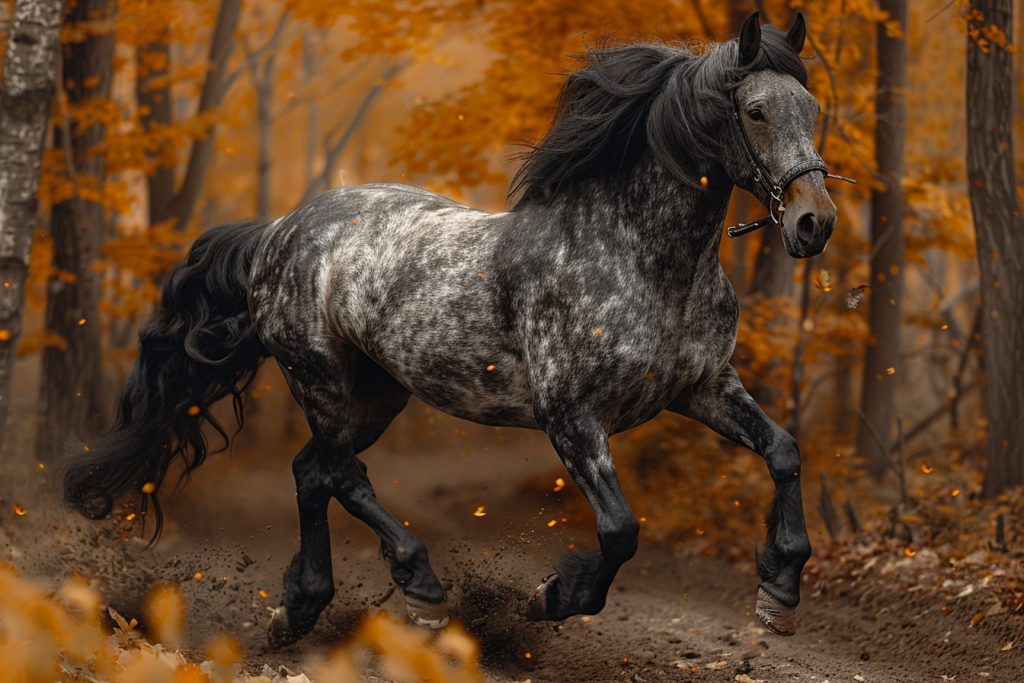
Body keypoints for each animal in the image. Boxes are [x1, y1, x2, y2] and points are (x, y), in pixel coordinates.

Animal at [65, 11, 839, 646]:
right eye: (756, 111)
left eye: (811, 107)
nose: (815, 223)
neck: (638, 258)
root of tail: (279, 230)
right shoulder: (571, 417)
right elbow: (620, 531)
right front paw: (552, 596)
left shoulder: (702, 388)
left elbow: (784, 451)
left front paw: (779, 590)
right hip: (319, 379)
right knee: (341, 474)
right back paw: (422, 591)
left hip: (378, 393)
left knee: (313, 473)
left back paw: (301, 607)